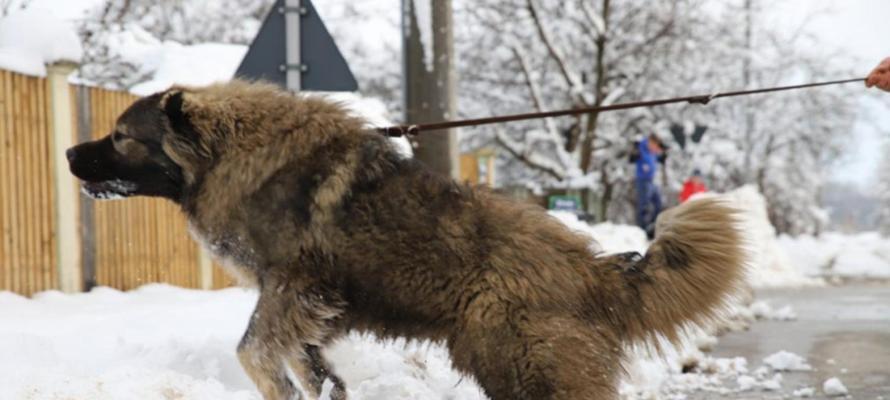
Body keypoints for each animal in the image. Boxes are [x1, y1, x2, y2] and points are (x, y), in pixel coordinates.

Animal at [67, 82, 744, 400]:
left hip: (519, 360)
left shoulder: (291, 285)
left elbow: (254, 351)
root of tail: (595, 269)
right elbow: (310, 364)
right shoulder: (308, 304)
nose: (71, 153)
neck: (233, 152)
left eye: (122, 136)